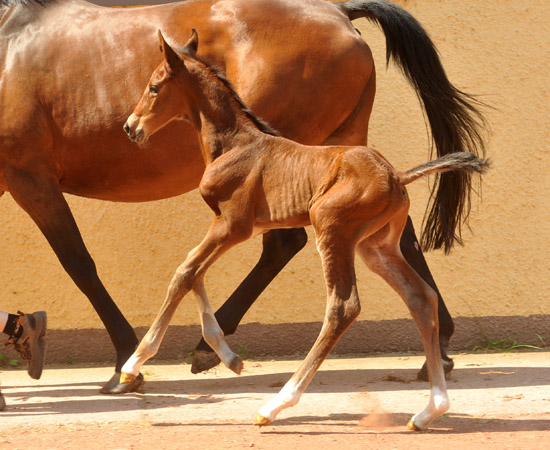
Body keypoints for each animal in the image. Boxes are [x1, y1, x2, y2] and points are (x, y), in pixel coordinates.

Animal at [123, 31, 490, 428]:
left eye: (154, 86)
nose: (130, 126)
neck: (235, 144)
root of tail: (397, 176)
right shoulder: (232, 226)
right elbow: (196, 274)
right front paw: (227, 357)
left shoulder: (233, 224)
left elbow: (185, 272)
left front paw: (133, 365)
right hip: (375, 246)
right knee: (421, 298)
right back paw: (429, 411)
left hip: (330, 226)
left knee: (343, 307)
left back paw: (275, 405)